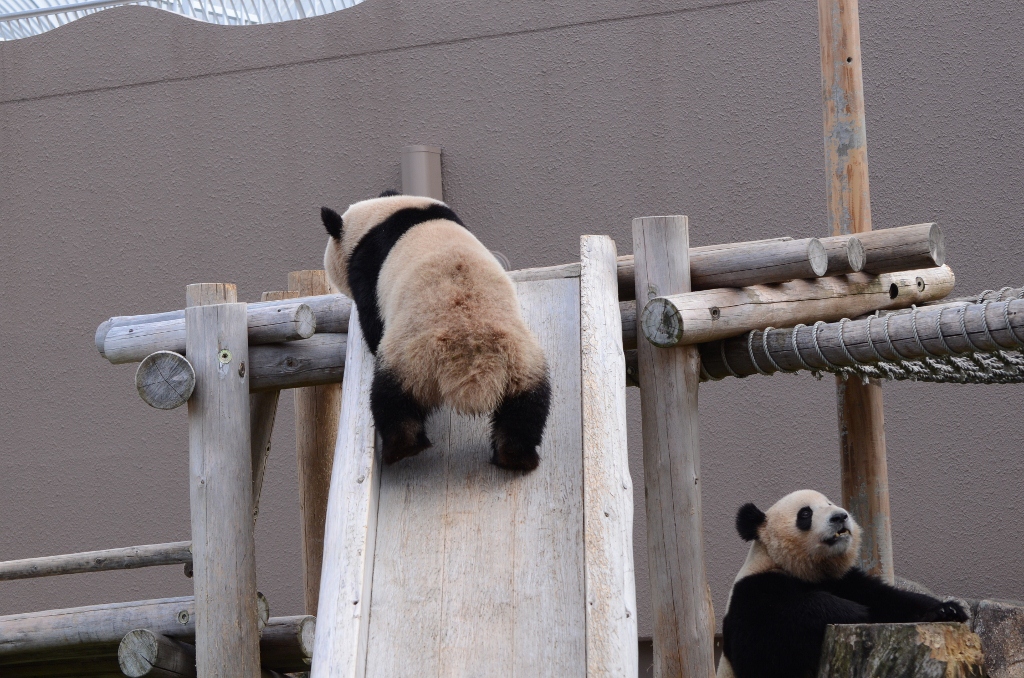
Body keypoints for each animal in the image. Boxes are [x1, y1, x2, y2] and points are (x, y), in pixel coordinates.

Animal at [720, 491, 966, 678]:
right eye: (805, 513)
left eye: (829, 503)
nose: (840, 516)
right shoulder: (753, 592)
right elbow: (762, 651)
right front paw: (852, 612)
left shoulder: (846, 580)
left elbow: (887, 599)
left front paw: (947, 609)